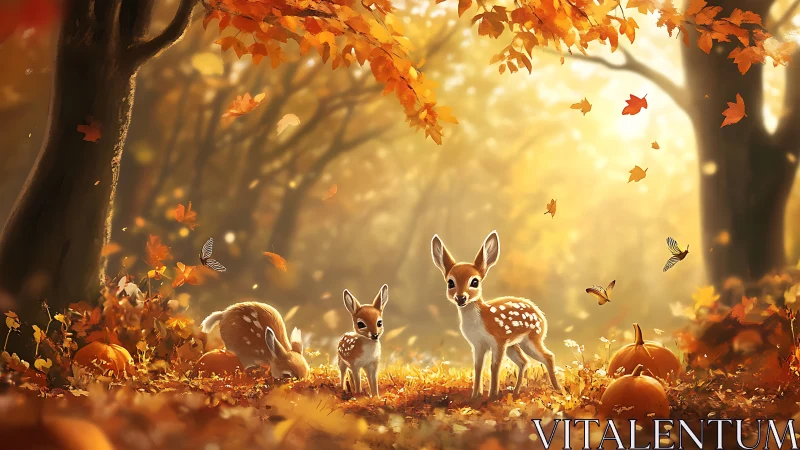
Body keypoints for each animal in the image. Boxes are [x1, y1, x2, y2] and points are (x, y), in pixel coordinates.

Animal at [430, 231, 560, 399]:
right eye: (450, 282)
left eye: (475, 282)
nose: (461, 298)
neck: (480, 320)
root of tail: (541, 316)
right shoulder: (477, 344)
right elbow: (478, 367)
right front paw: (475, 396)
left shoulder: (498, 340)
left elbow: (494, 367)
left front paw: (492, 395)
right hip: (516, 344)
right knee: (524, 361)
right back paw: (516, 392)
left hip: (532, 337)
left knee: (548, 356)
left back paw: (558, 389)